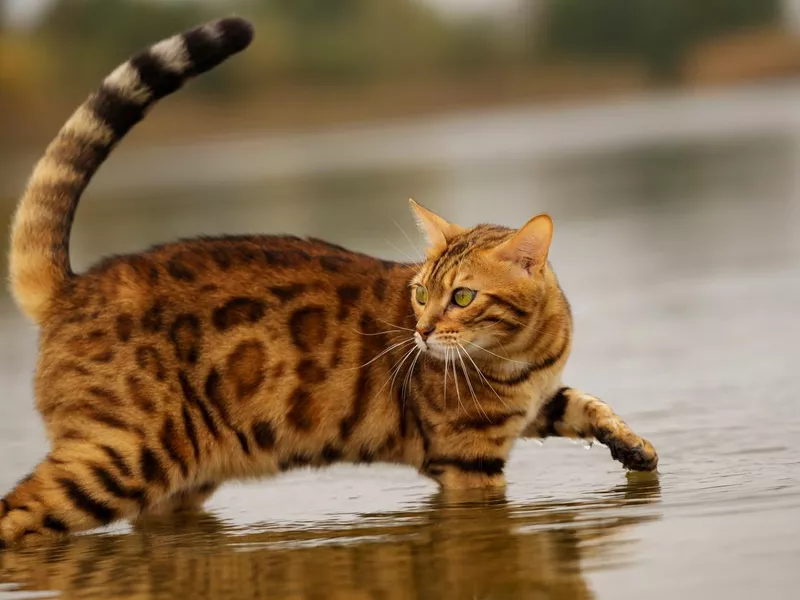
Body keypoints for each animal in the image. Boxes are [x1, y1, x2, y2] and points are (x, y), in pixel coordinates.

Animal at [1, 16, 656, 548]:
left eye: (462, 296)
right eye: (423, 293)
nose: (420, 332)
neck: (524, 353)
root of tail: (73, 285)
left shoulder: (538, 402)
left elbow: (586, 403)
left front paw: (632, 446)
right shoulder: (466, 459)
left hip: (179, 477)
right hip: (123, 456)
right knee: (16, 511)